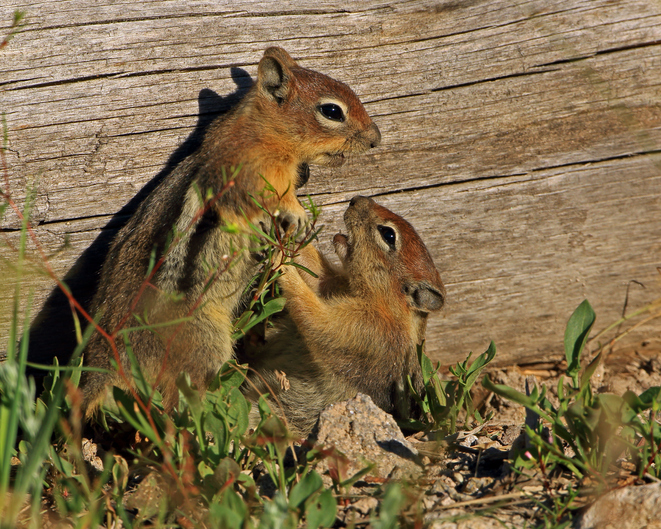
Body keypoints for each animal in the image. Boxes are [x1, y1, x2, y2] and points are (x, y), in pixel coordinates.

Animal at [81, 47, 382, 414]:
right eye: (332, 111)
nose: (376, 139)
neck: (261, 132)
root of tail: (109, 360)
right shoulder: (249, 173)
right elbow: (270, 197)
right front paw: (298, 214)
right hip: (205, 342)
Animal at [242, 196, 444, 436]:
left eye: (388, 234)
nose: (355, 200)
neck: (386, 305)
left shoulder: (363, 330)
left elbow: (313, 316)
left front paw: (283, 265)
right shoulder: (335, 285)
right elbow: (318, 274)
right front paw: (287, 232)